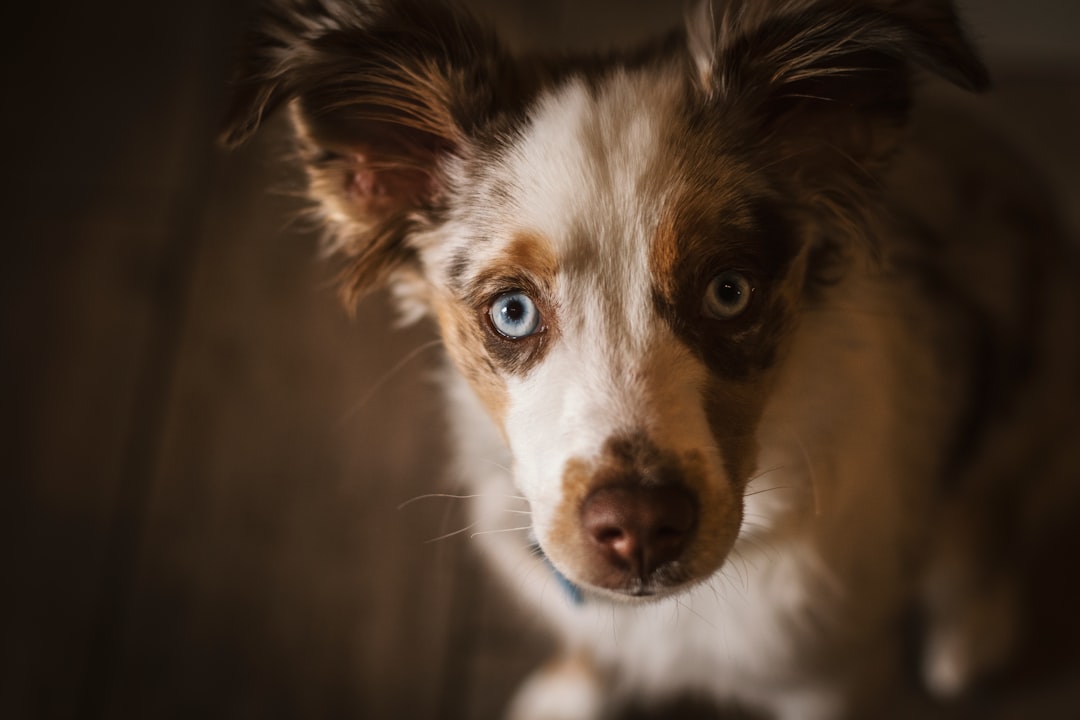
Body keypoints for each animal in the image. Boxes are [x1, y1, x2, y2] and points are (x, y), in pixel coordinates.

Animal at [221, 2, 1080, 716]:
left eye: (729, 291)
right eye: (512, 311)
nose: (638, 530)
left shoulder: (830, 675)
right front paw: (571, 691)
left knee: (993, 510)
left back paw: (972, 628)